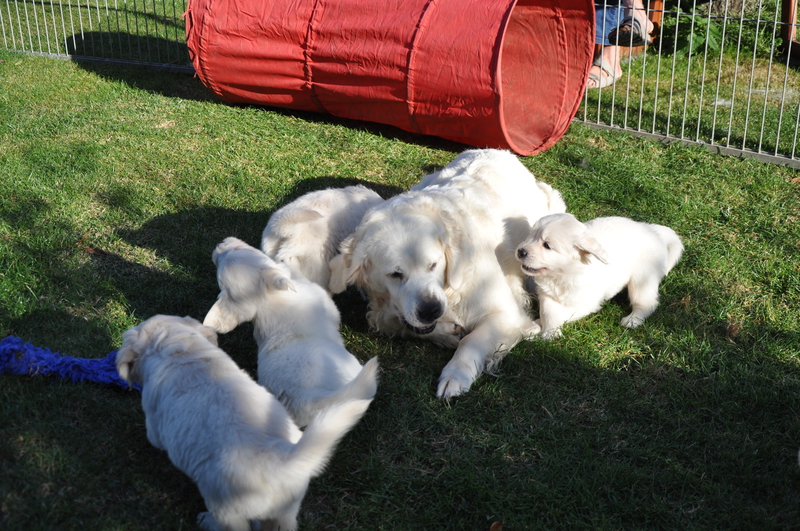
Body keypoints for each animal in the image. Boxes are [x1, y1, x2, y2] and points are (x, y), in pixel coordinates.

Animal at [116, 314, 372, 531]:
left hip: (225, 505)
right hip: (287, 510)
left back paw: (207, 521)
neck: (179, 349)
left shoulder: (153, 419)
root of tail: (282, 459)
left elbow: (154, 436)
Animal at [328, 149, 567, 398]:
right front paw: (447, 333)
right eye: (395, 274)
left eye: (433, 265)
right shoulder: (382, 314)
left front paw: (455, 375)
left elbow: (471, 340)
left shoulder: (507, 313)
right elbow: (409, 327)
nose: (431, 310)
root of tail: (500, 151)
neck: (452, 290)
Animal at [515, 213, 684, 339]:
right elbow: (548, 311)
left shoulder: (586, 303)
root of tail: (653, 230)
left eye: (547, 245)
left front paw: (545, 329)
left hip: (642, 278)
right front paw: (542, 327)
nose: (520, 251)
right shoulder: (546, 294)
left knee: (647, 303)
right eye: (531, 235)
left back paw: (632, 320)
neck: (562, 274)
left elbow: (560, 313)